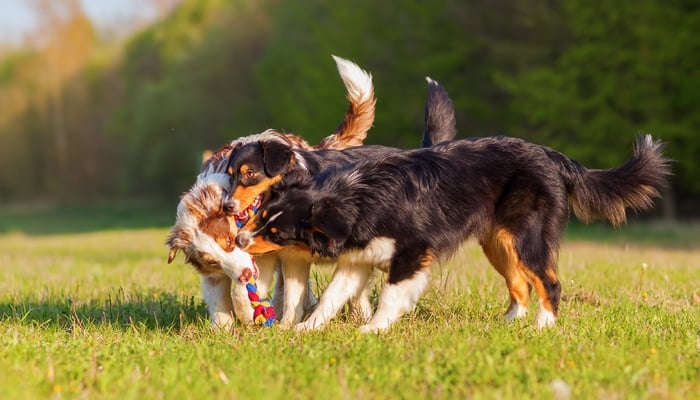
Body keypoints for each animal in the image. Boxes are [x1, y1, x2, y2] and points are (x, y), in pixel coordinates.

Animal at [166, 56, 378, 332]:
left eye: (229, 242)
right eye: (211, 260)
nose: (245, 274)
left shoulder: (260, 253)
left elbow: (242, 290)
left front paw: (248, 315)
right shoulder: (218, 272)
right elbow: (220, 297)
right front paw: (223, 329)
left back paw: (356, 314)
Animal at [221, 76, 456, 326]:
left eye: (250, 173)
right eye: (230, 175)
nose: (227, 206)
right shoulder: (288, 256)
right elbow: (273, 294)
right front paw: (278, 326)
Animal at [237, 134, 672, 332]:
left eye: (276, 231)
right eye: (262, 217)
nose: (239, 241)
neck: (355, 198)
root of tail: (553, 156)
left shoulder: (412, 251)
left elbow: (391, 294)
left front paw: (374, 329)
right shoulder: (358, 258)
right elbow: (331, 297)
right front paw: (305, 330)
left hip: (526, 237)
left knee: (549, 281)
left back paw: (542, 327)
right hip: (498, 242)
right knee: (520, 284)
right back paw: (508, 324)